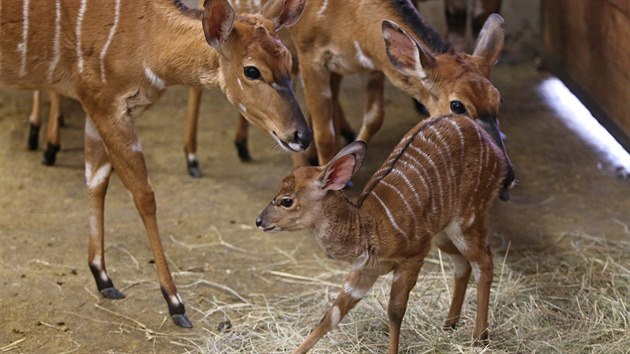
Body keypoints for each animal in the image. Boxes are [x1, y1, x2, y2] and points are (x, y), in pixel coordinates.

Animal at [0, 0, 312, 330]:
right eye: (252, 70)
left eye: (289, 59)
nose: (302, 136)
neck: (145, 36)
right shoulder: (107, 107)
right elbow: (144, 196)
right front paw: (174, 303)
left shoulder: (97, 110)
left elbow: (96, 180)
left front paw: (103, 277)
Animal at [256, 114, 508, 352]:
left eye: (287, 201)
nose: (259, 221)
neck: (366, 227)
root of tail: (495, 150)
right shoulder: (364, 271)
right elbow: (332, 315)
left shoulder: (412, 257)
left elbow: (395, 310)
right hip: (442, 234)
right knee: (462, 265)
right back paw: (449, 324)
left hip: (467, 219)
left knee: (484, 262)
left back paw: (480, 338)